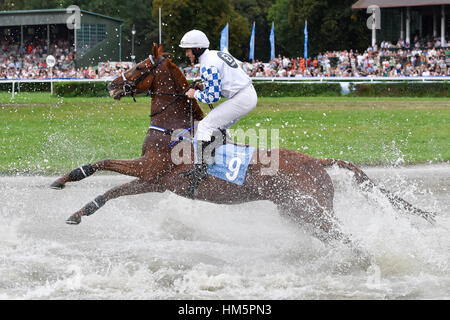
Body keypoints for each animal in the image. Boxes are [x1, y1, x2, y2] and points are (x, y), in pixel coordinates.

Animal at [51, 43, 434, 251]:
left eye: (141, 66)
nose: (111, 85)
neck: (173, 126)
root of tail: (317, 162)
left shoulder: (152, 171)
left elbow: (107, 171)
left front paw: (71, 189)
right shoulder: (154, 178)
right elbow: (109, 184)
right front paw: (71, 195)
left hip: (311, 212)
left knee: (348, 240)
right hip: (297, 212)